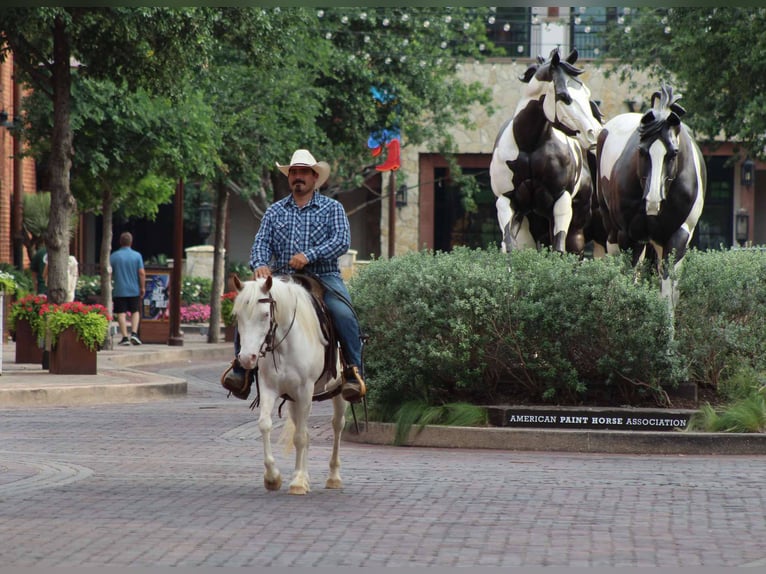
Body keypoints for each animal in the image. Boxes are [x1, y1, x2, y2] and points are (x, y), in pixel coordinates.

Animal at [231, 274, 346, 495]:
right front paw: (273, 477)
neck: (283, 346)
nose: (247, 358)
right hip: (294, 399)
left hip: (338, 393)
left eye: (265, 314)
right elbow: (265, 425)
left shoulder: (305, 391)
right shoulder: (269, 388)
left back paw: (334, 477)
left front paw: (298, 481)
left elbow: (300, 437)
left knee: (337, 426)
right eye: (237, 315)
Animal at [489, 47, 603, 255]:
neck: (529, 147)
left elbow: (559, 249)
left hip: (578, 228)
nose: (594, 133)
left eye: (586, 93)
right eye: (564, 96)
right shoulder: (506, 201)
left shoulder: (560, 200)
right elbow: (509, 247)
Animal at [595, 83, 706, 303]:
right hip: (614, 231)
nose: (653, 201)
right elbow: (629, 281)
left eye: (673, 153)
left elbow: (668, 288)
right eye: (642, 151)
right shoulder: (629, 235)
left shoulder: (678, 235)